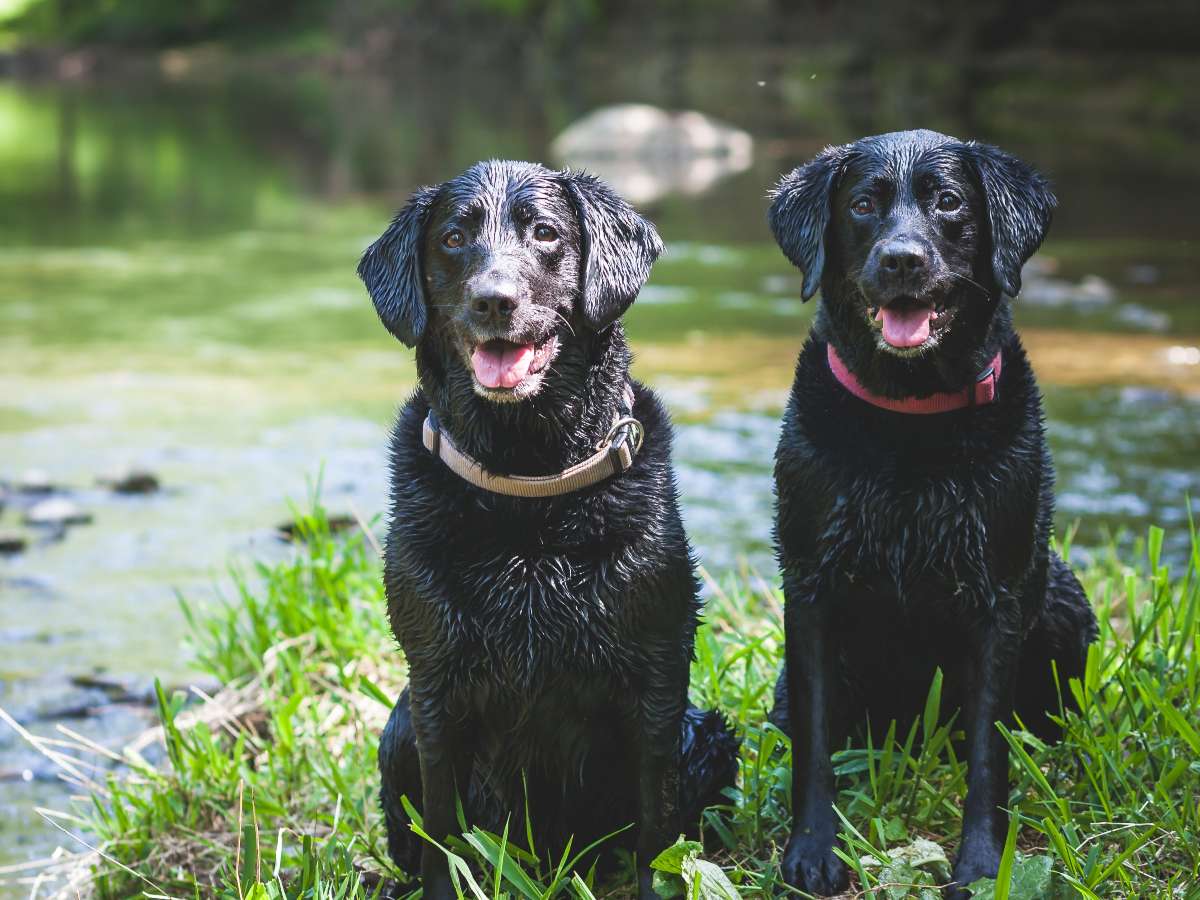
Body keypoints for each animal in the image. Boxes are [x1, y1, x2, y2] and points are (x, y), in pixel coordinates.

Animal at [768, 130, 1099, 897]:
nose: (902, 259)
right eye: (862, 205)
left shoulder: (1000, 597)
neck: (908, 420)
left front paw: (980, 864)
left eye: (948, 202)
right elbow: (816, 742)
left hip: (1062, 601)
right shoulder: (811, 589)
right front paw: (811, 851)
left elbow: (989, 754)